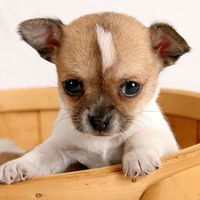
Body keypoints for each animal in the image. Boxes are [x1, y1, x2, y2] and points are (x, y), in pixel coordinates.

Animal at [0, 12, 189, 184]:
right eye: (72, 85)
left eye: (131, 87)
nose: (99, 121)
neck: (103, 142)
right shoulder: (59, 148)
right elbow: (40, 154)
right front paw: (17, 164)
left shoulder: (164, 139)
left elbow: (141, 137)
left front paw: (138, 157)